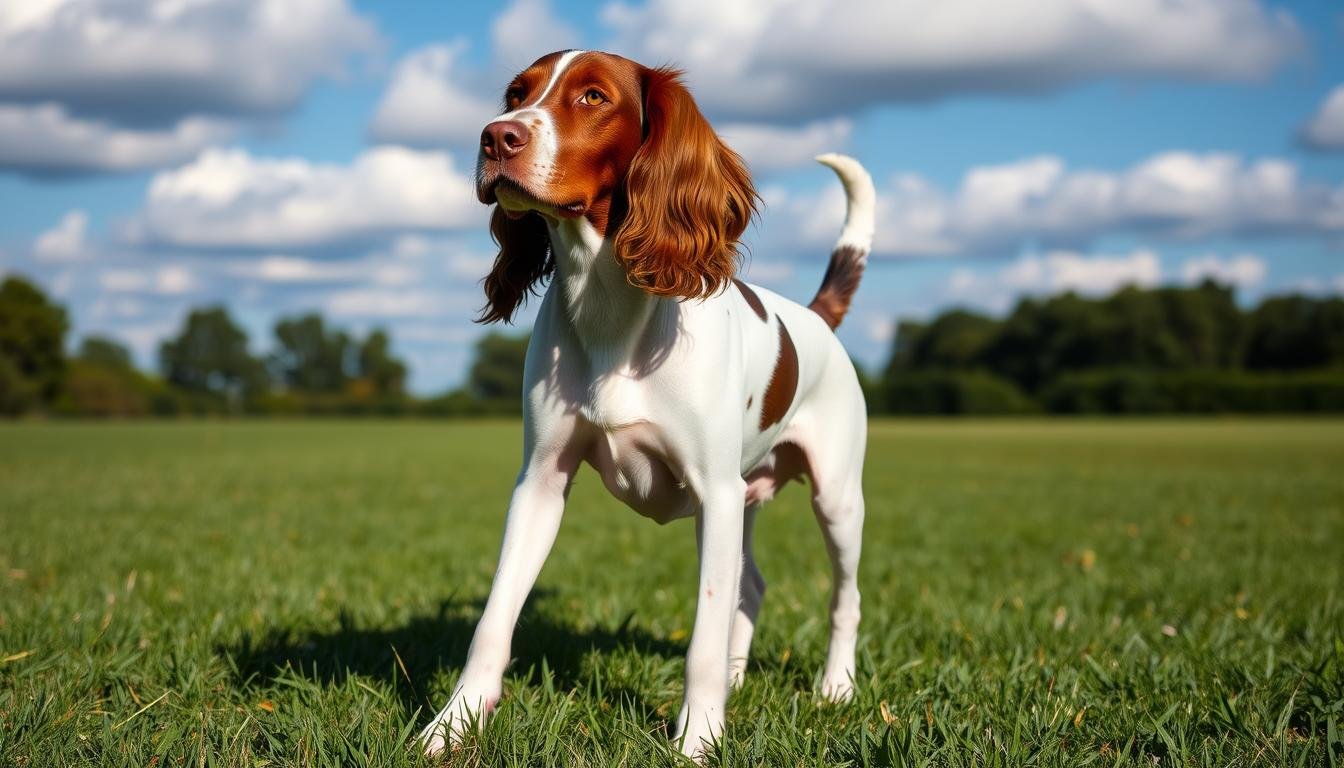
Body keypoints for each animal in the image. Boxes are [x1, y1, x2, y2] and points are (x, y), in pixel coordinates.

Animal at [424, 49, 876, 763]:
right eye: (516, 94)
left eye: (592, 97)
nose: (496, 138)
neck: (608, 305)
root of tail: (817, 318)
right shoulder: (539, 484)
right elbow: (493, 620)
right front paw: (453, 725)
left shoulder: (714, 493)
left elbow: (702, 635)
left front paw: (698, 740)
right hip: (748, 498)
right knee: (751, 587)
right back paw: (739, 678)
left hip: (835, 498)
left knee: (844, 596)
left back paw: (835, 687)